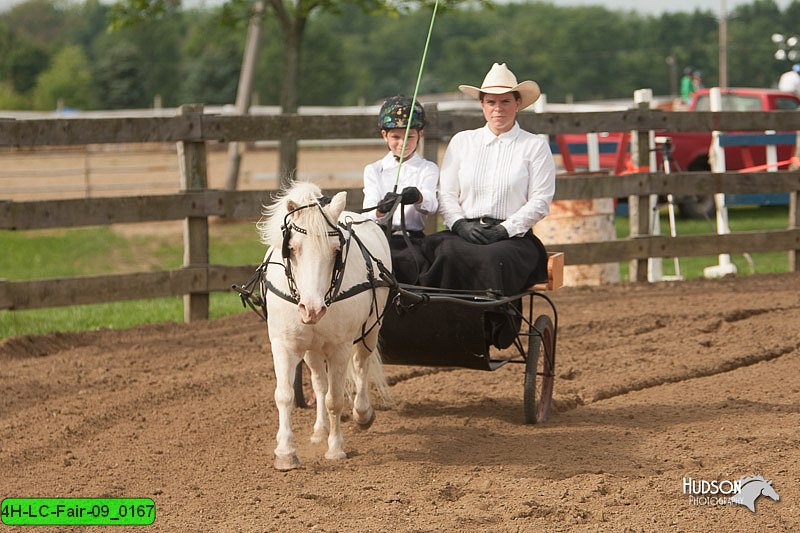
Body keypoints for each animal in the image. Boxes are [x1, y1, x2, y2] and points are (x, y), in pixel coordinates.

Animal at [258, 182, 392, 470]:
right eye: (292, 248)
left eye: (335, 251)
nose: (312, 309)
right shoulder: (283, 345)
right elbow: (285, 395)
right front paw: (285, 452)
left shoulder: (340, 347)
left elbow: (335, 399)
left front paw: (336, 448)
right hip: (311, 348)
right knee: (319, 382)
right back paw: (320, 430)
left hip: (371, 329)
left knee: (361, 366)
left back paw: (362, 413)